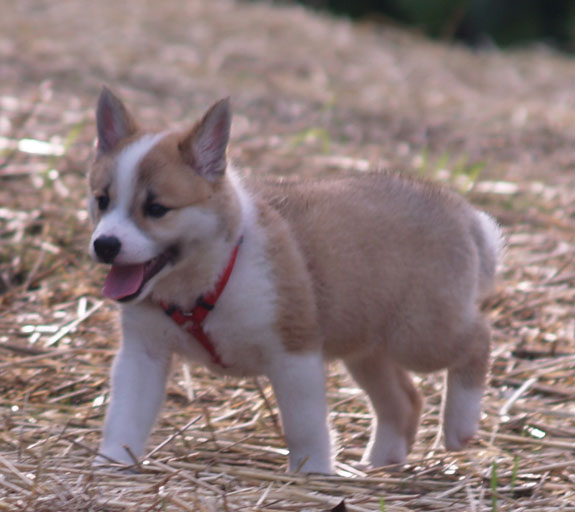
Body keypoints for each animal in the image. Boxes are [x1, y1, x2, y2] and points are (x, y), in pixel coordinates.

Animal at [88, 87, 502, 472]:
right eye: (102, 200)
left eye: (157, 209)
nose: (105, 245)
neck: (205, 279)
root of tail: (464, 214)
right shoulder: (143, 353)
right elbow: (125, 414)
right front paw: (111, 462)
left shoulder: (294, 353)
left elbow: (305, 426)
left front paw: (314, 471)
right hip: (367, 349)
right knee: (404, 400)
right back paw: (379, 462)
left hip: (418, 335)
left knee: (479, 337)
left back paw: (460, 426)